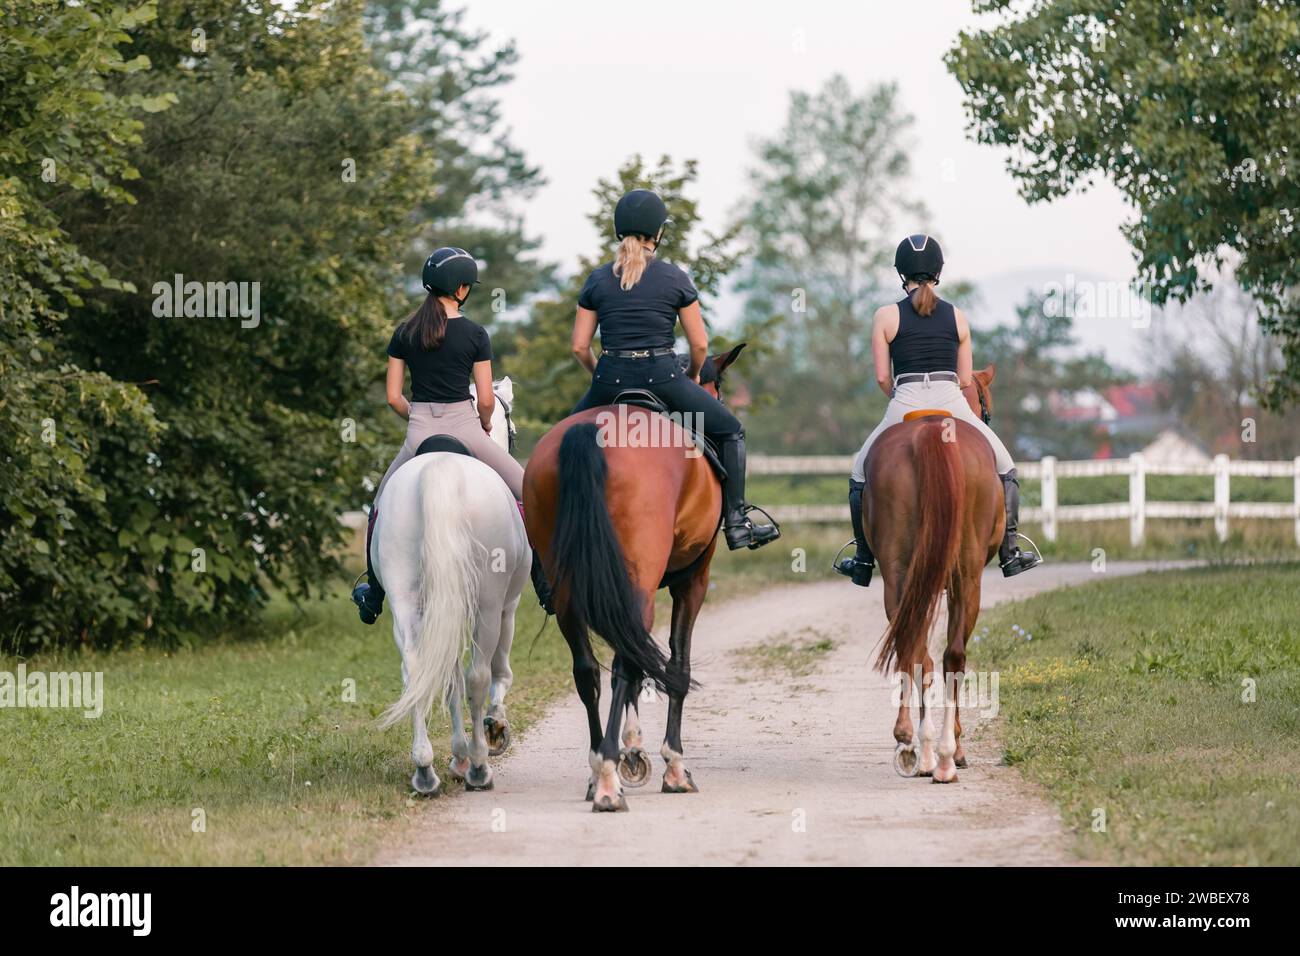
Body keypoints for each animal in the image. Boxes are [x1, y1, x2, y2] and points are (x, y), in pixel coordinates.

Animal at [372, 378, 529, 794]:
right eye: (512, 427)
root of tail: (439, 467)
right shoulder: (507, 608)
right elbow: (497, 670)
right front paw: (493, 729)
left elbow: (448, 678)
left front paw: (457, 754)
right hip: (488, 605)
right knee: (478, 675)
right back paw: (479, 767)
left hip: (406, 601)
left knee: (417, 670)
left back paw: (425, 770)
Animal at [522, 346, 748, 812]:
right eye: (716, 385)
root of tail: (592, 432)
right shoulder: (692, 583)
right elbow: (676, 663)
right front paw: (671, 765)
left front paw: (633, 749)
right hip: (643, 583)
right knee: (625, 664)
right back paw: (609, 780)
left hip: (570, 591)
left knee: (587, 670)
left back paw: (598, 769)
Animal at [862, 364, 1003, 784]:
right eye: (987, 409)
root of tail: (928, 431)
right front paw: (956, 747)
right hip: (964, 577)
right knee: (946, 654)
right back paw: (937, 755)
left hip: (901, 575)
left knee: (918, 651)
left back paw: (920, 749)